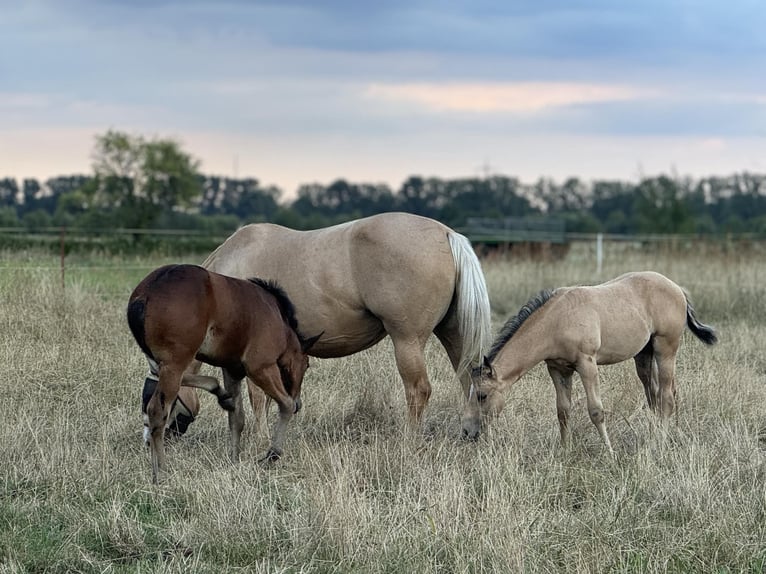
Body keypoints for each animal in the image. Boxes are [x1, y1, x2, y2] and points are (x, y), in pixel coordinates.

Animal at [127, 266, 320, 486]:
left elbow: (237, 417)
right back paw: (161, 473)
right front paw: (272, 454)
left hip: (162, 362)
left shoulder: (231, 369)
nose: (299, 404)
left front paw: (234, 459)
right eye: (306, 365)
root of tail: (145, 294)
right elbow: (284, 404)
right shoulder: (260, 368)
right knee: (157, 412)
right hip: (174, 364)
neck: (276, 317)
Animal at [175, 212, 492, 432]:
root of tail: (446, 233)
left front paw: (259, 439)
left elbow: (257, 397)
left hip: (407, 341)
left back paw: (409, 441)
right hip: (453, 335)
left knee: (419, 390)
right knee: (471, 381)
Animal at [462, 272, 720, 452]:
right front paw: (565, 450)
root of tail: (677, 289)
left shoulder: (587, 364)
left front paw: (609, 453)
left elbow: (596, 410)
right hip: (644, 355)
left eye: (482, 395)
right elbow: (563, 410)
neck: (557, 321)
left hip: (665, 349)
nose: (466, 432)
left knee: (666, 397)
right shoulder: (557, 368)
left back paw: (659, 443)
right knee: (657, 396)